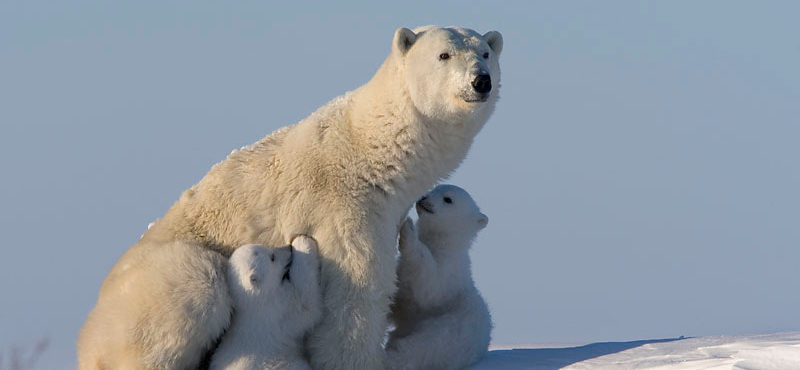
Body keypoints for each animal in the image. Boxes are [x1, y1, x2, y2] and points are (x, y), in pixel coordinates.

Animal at [211, 237, 324, 370]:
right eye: (272, 257)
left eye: (266, 247)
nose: (288, 247)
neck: (254, 303)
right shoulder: (278, 311)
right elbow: (306, 303)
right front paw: (303, 241)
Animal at [384, 185, 490, 370]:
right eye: (434, 188)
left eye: (448, 199)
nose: (423, 197)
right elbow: (401, 300)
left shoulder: (448, 275)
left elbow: (430, 286)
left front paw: (408, 229)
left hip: (448, 332)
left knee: (420, 347)